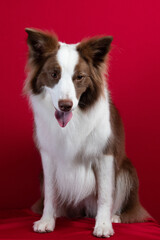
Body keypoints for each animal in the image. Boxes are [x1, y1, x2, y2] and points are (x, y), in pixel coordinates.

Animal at [24, 28, 150, 238]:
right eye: (54, 74)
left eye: (79, 77)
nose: (65, 105)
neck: (73, 121)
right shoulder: (48, 156)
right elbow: (50, 193)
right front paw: (47, 220)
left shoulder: (105, 155)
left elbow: (105, 195)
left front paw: (104, 225)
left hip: (127, 171)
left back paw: (115, 217)